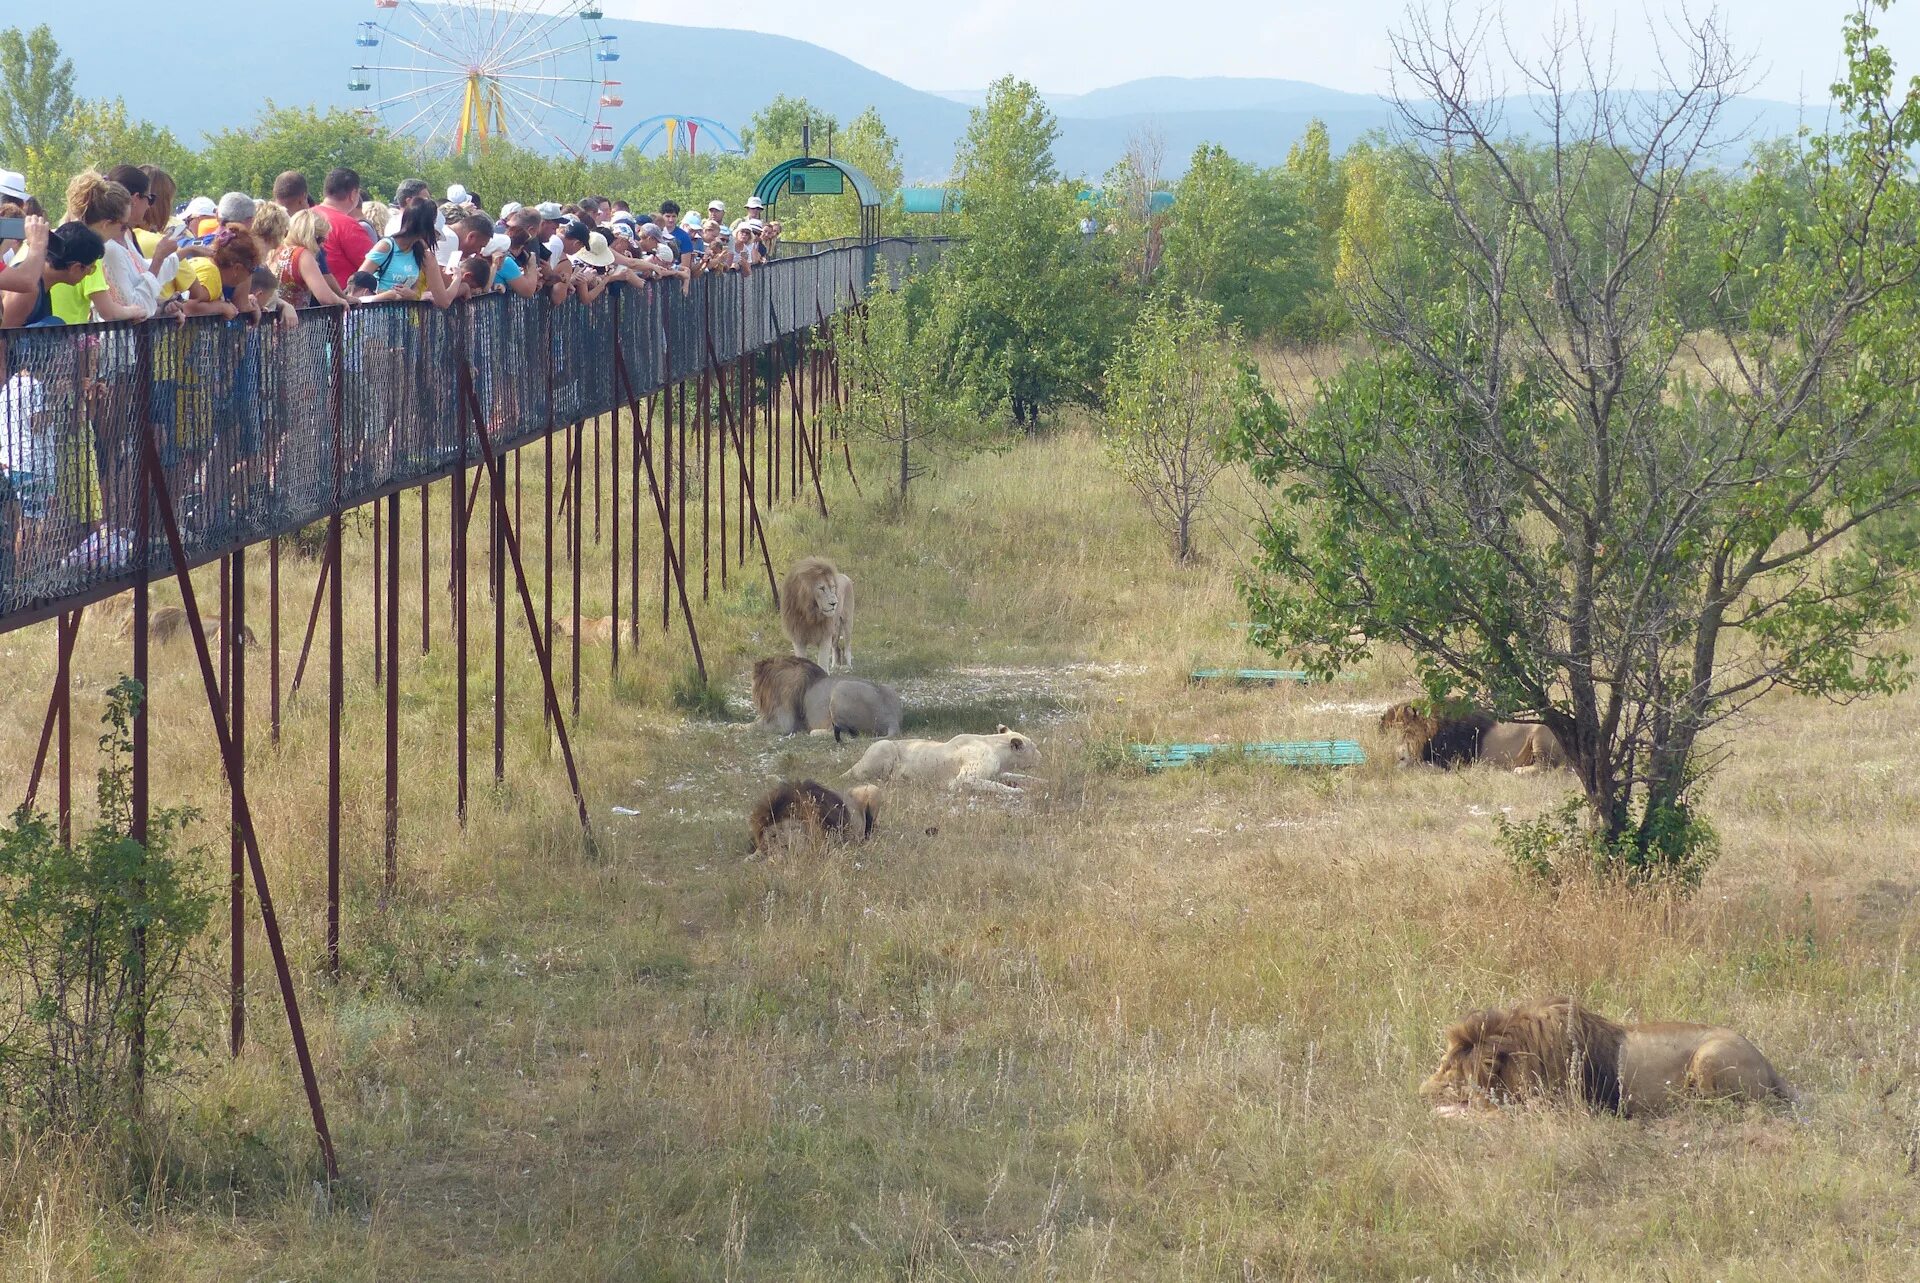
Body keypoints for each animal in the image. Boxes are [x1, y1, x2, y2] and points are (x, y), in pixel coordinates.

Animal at [848, 722, 1044, 791]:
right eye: (1034, 747)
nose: (1041, 755)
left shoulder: (999, 773)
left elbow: (1021, 776)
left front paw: (1040, 781)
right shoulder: (962, 779)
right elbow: (998, 787)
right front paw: (1017, 791)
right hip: (884, 745)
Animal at [1374, 702, 1566, 772]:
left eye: (1400, 733)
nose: (1394, 754)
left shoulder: (1454, 762)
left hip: (1541, 734)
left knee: (1545, 766)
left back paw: (1519, 771)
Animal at [1420, 998, 1789, 1113]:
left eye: (1450, 1076)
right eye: (1440, 1065)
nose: (1419, 1093)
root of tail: (1768, 1063)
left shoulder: (1559, 1109)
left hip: (1710, 1056)